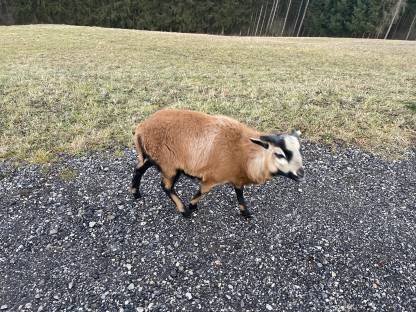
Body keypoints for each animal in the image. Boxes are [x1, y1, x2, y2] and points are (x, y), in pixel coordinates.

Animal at [132, 108, 304, 218]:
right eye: (279, 154)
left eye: (299, 149)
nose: (301, 173)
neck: (245, 154)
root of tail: (141, 128)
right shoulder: (212, 177)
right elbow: (202, 192)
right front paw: (192, 206)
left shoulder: (237, 177)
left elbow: (240, 194)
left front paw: (246, 213)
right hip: (169, 164)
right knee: (166, 186)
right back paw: (184, 211)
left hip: (154, 157)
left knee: (139, 169)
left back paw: (135, 193)